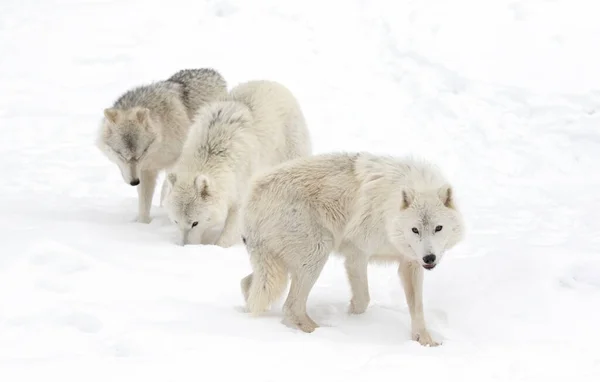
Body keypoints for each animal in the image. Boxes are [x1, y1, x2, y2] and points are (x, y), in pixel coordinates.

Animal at [96, 68, 227, 224]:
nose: (134, 182)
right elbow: (144, 202)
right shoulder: (145, 170)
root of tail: (213, 72)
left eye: (141, 153)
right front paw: (143, 223)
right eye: (121, 155)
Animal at [162, 80, 312, 248]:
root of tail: (276, 84)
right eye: (176, 221)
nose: (185, 247)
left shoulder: (242, 181)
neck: (212, 150)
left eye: (195, 223)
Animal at [241, 151, 466, 346]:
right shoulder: (357, 252)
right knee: (291, 306)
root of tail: (252, 195)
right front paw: (355, 321)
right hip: (316, 253)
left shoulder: (410, 261)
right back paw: (320, 332)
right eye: (415, 229)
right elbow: (363, 299)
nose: (429, 258)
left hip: (282, 266)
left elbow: (417, 307)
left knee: (247, 284)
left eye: (438, 228)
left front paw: (425, 341)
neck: (387, 211)